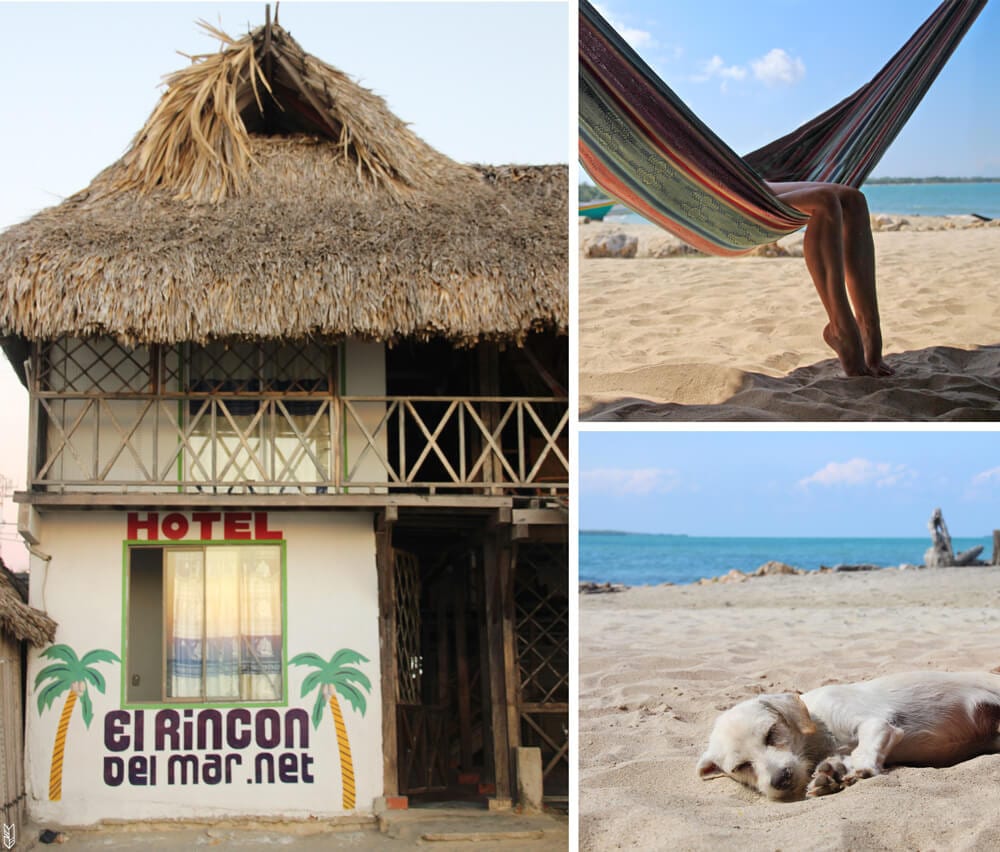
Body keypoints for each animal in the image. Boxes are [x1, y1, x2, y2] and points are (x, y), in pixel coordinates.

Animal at [696, 672, 1000, 800]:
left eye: (771, 734)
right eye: (740, 767)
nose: (781, 780)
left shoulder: (876, 724)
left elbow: (863, 750)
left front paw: (858, 769)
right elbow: (842, 759)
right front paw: (831, 776)